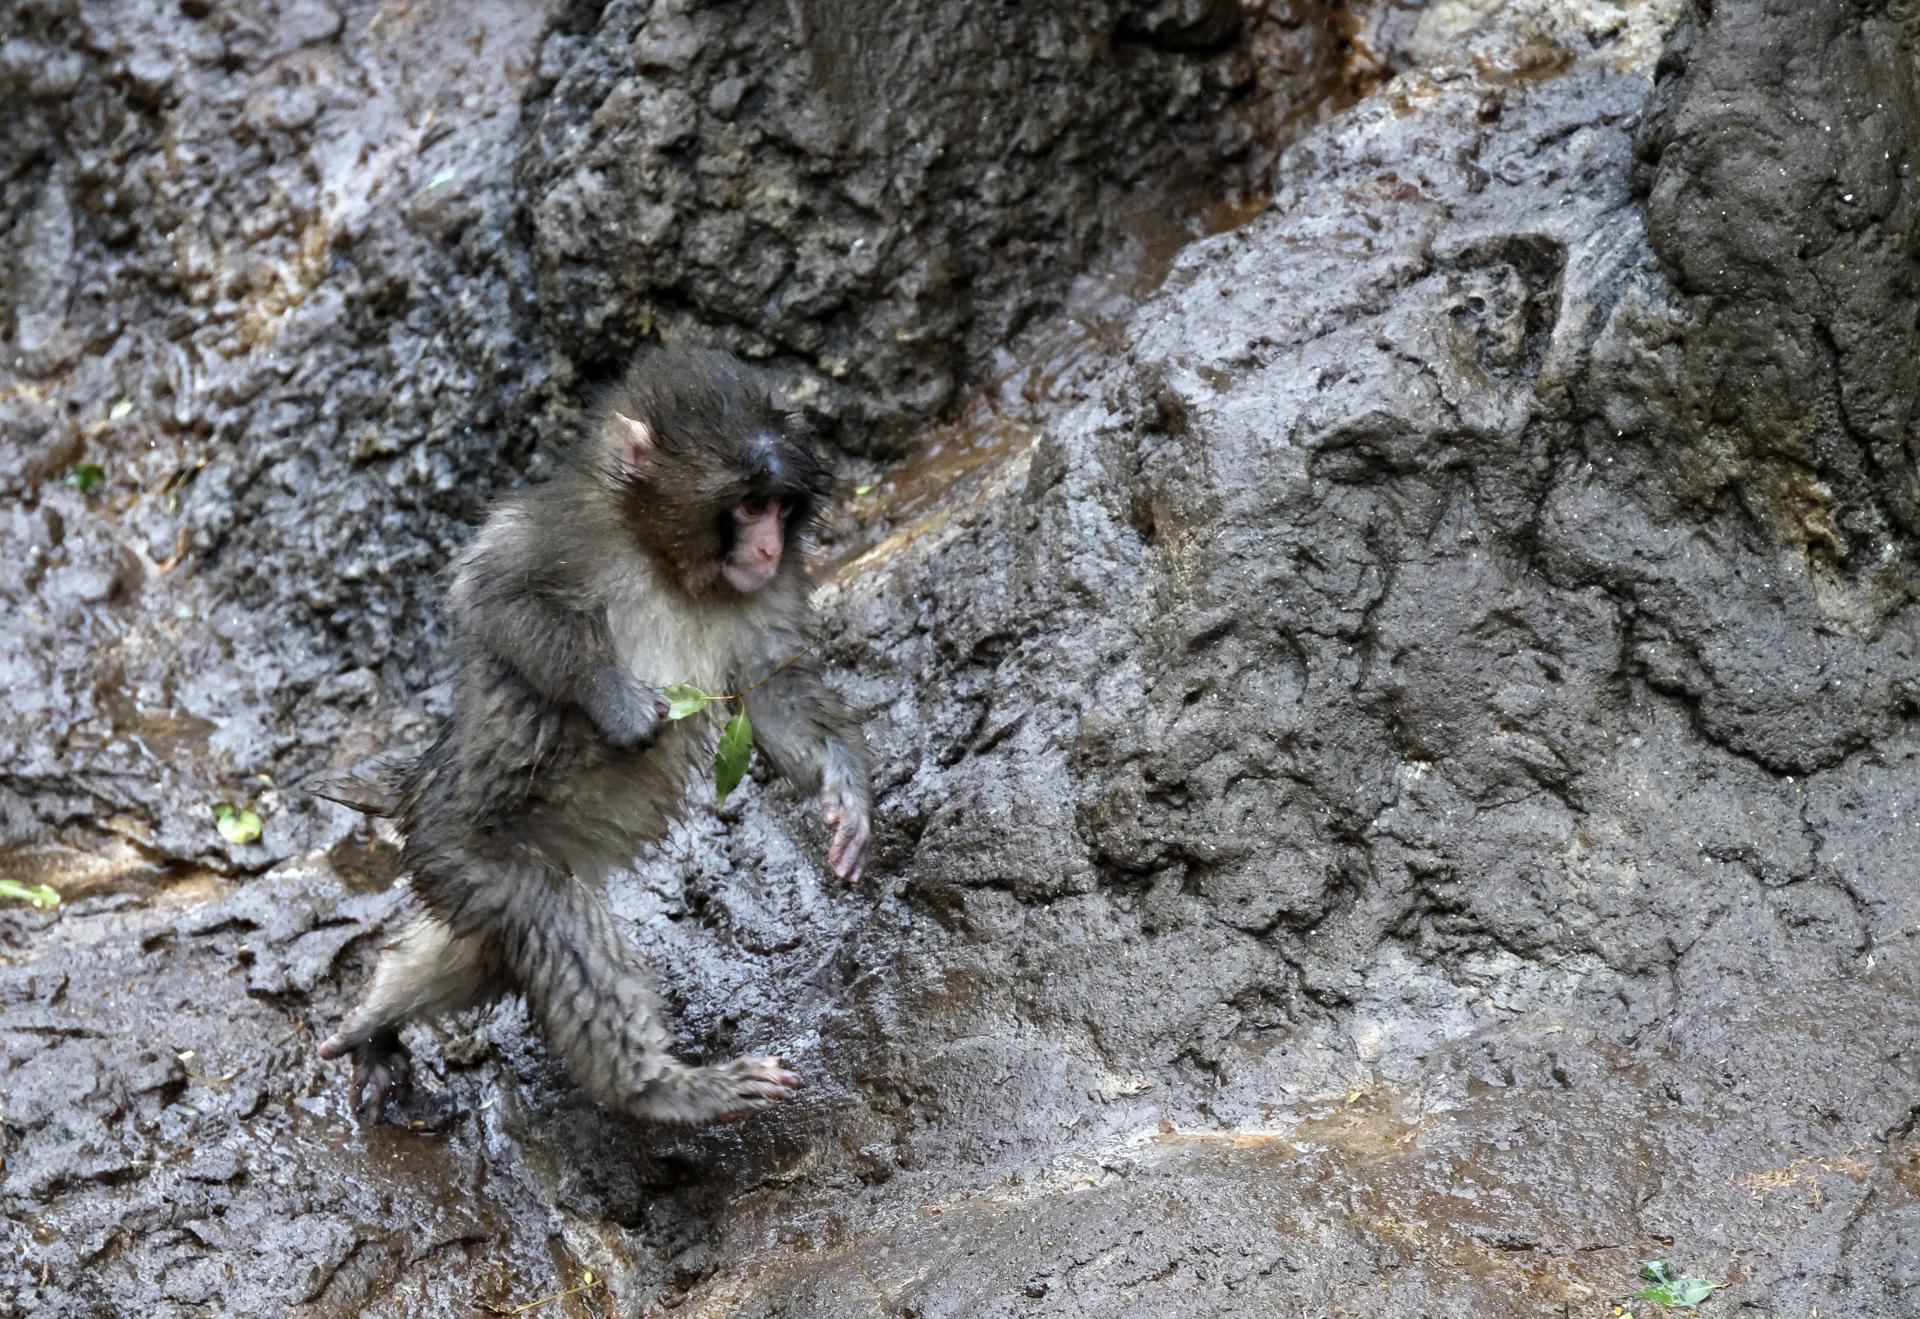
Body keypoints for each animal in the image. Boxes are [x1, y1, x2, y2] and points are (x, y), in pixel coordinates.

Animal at [311, 346, 873, 1126]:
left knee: (483, 951)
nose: (766, 546)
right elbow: (492, 594)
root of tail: (418, 785)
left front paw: (846, 795)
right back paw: (663, 1089)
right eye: (750, 504)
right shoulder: (563, 529)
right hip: (463, 848)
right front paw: (615, 699)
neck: (668, 566)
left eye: (784, 508)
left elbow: (773, 688)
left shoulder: (766, 593)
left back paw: (372, 1018)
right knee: (552, 925)